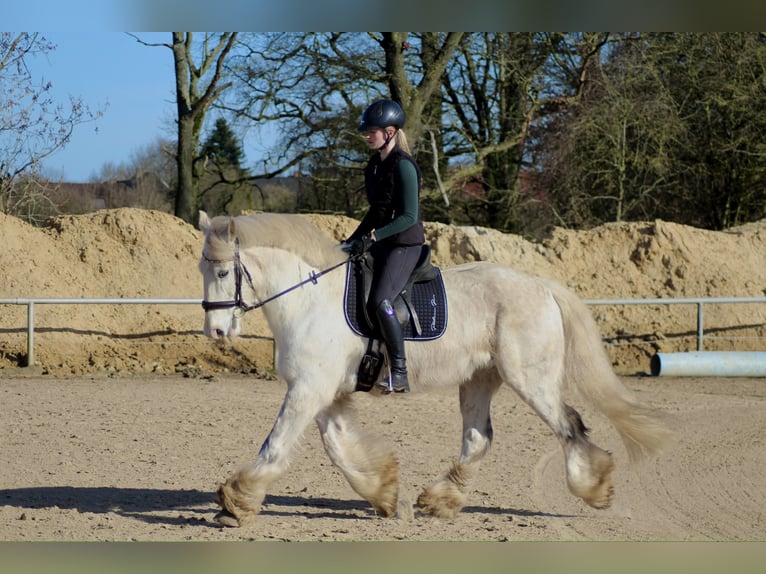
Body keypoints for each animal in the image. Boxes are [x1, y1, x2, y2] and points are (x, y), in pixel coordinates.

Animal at [197, 211, 673, 527]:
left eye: (222, 272)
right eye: (203, 269)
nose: (216, 331)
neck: (310, 297)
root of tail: (542, 285)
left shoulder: (309, 389)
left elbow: (276, 444)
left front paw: (235, 502)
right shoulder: (324, 392)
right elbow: (338, 448)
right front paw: (386, 494)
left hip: (530, 378)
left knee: (568, 424)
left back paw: (594, 488)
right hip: (480, 379)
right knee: (479, 437)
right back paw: (440, 501)